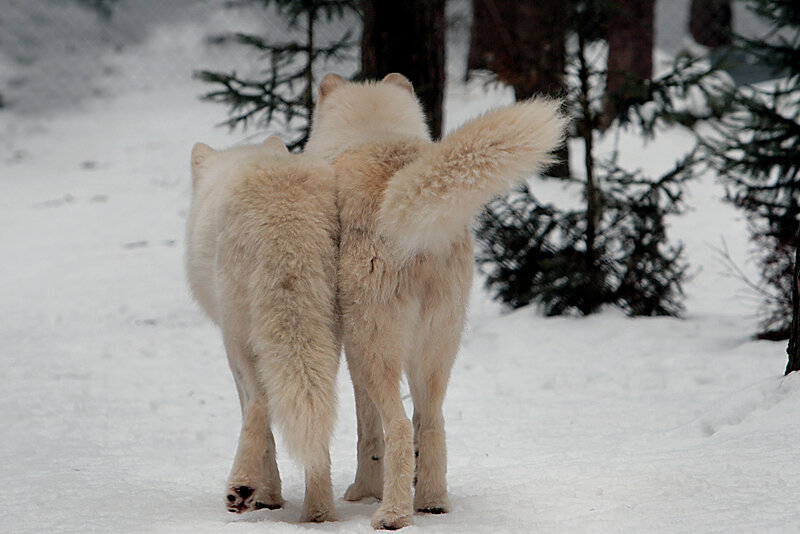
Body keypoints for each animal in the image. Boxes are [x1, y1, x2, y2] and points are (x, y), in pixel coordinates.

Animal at [185, 136, 340, 522]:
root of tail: (284, 209)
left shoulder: (231, 352)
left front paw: (267, 497)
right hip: (327, 336)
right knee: (317, 414)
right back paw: (319, 514)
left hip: (241, 336)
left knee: (261, 400)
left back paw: (241, 487)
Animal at [304, 73, 567, 530]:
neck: (372, 132)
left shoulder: (352, 355)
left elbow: (366, 431)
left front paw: (362, 492)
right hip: (437, 351)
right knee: (431, 423)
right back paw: (432, 503)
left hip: (376, 352)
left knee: (398, 426)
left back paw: (392, 515)